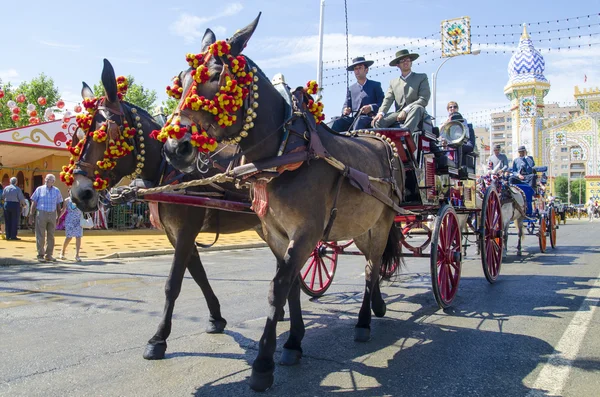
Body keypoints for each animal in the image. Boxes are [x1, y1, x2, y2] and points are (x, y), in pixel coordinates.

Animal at [68, 58, 260, 358]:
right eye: (76, 136)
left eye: (105, 134)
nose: (80, 193)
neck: (168, 170)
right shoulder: (176, 234)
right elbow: (199, 276)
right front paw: (216, 317)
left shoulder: (186, 230)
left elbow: (173, 284)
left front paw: (158, 338)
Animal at [159, 14, 406, 390]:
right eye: (182, 79)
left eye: (216, 76)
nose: (175, 147)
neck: (283, 152)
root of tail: (381, 141)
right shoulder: (276, 234)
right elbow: (288, 287)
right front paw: (292, 343)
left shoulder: (305, 233)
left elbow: (277, 289)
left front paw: (263, 363)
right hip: (361, 227)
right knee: (373, 267)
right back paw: (376, 307)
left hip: (381, 223)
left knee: (371, 267)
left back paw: (364, 321)